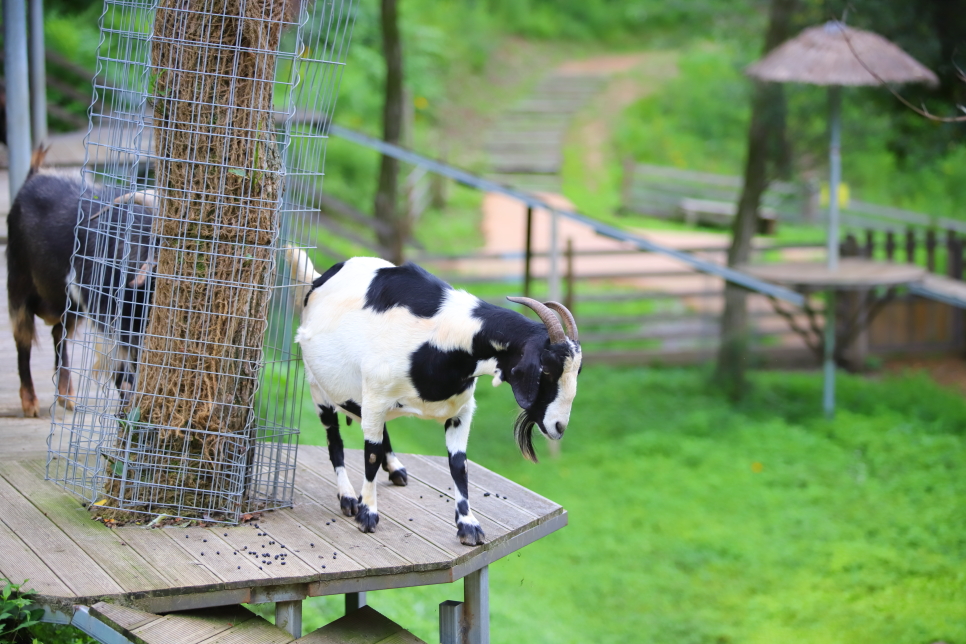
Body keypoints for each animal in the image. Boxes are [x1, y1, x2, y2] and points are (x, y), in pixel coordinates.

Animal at [6, 148, 156, 416]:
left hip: (70, 307)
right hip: (18, 286)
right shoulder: (109, 321)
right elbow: (123, 369)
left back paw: (67, 397)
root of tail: (33, 176)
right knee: (23, 340)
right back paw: (30, 404)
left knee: (59, 334)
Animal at [290, 249, 584, 544]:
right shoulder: (375, 397)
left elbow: (459, 465)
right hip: (318, 387)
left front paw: (468, 525)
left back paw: (394, 468)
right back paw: (348, 497)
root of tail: (318, 279)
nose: (559, 427)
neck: (443, 334)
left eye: (577, 371)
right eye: (546, 368)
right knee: (335, 440)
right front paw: (368, 514)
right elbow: (370, 456)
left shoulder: (461, 411)